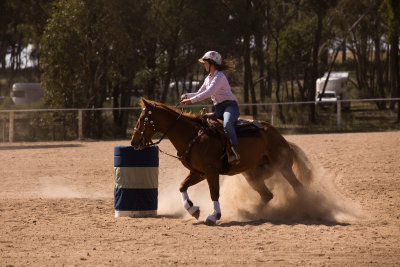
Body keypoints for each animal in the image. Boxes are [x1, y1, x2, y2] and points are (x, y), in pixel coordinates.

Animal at [130, 98, 312, 226]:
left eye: (143, 118)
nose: (133, 142)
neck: (193, 136)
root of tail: (281, 138)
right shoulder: (198, 172)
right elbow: (182, 186)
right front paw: (193, 210)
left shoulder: (211, 171)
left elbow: (214, 193)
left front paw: (213, 216)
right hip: (253, 175)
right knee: (267, 195)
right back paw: (252, 213)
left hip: (283, 167)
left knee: (297, 187)